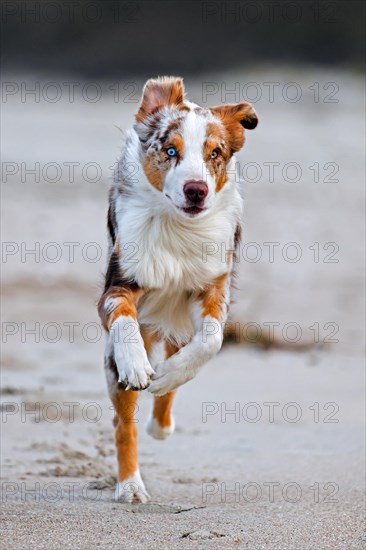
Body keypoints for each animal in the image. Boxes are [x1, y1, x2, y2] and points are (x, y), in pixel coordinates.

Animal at [97, 77, 258, 504]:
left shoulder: (213, 287)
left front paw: (167, 376)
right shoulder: (119, 284)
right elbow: (123, 319)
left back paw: (161, 420)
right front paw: (138, 364)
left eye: (215, 153)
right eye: (171, 151)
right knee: (124, 425)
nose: (196, 190)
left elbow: (211, 341)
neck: (177, 228)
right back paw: (131, 486)